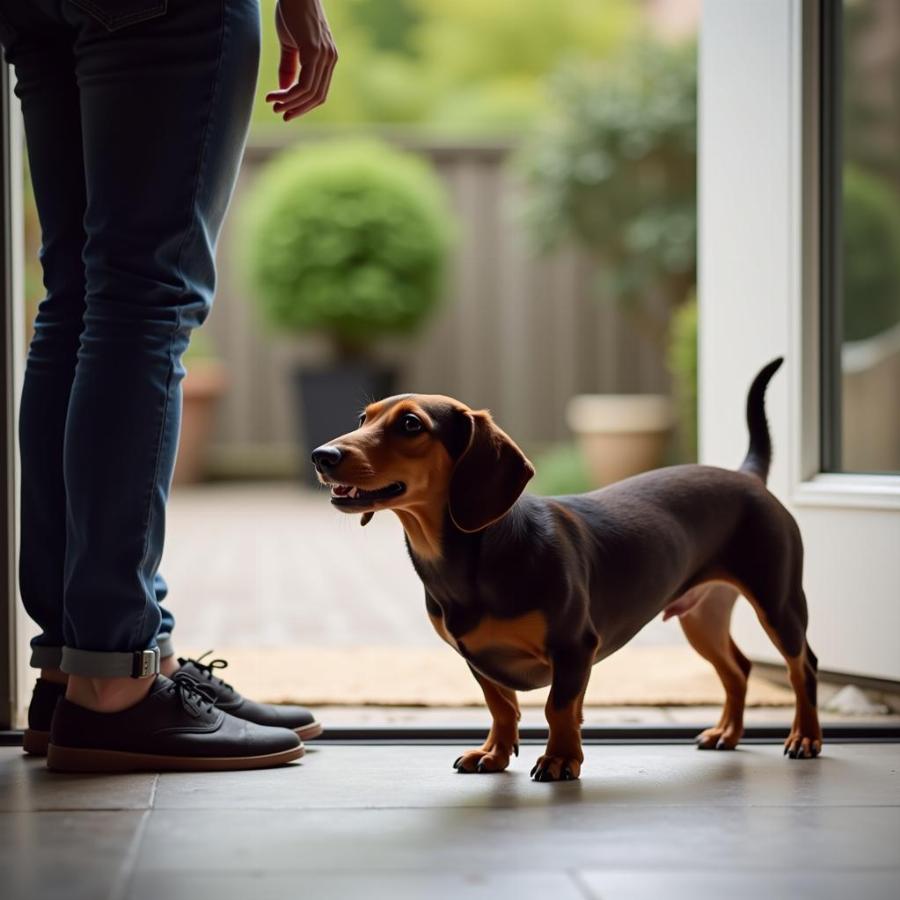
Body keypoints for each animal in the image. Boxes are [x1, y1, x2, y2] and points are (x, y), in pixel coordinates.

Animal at [312, 358, 824, 780]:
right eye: (363, 419)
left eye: (411, 423)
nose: (322, 455)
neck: (473, 559)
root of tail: (746, 475)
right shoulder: (476, 658)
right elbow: (501, 705)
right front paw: (494, 753)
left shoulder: (574, 646)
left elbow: (558, 707)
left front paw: (560, 759)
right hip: (702, 616)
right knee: (737, 670)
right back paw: (727, 733)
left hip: (778, 602)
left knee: (803, 667)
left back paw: (805, 737)